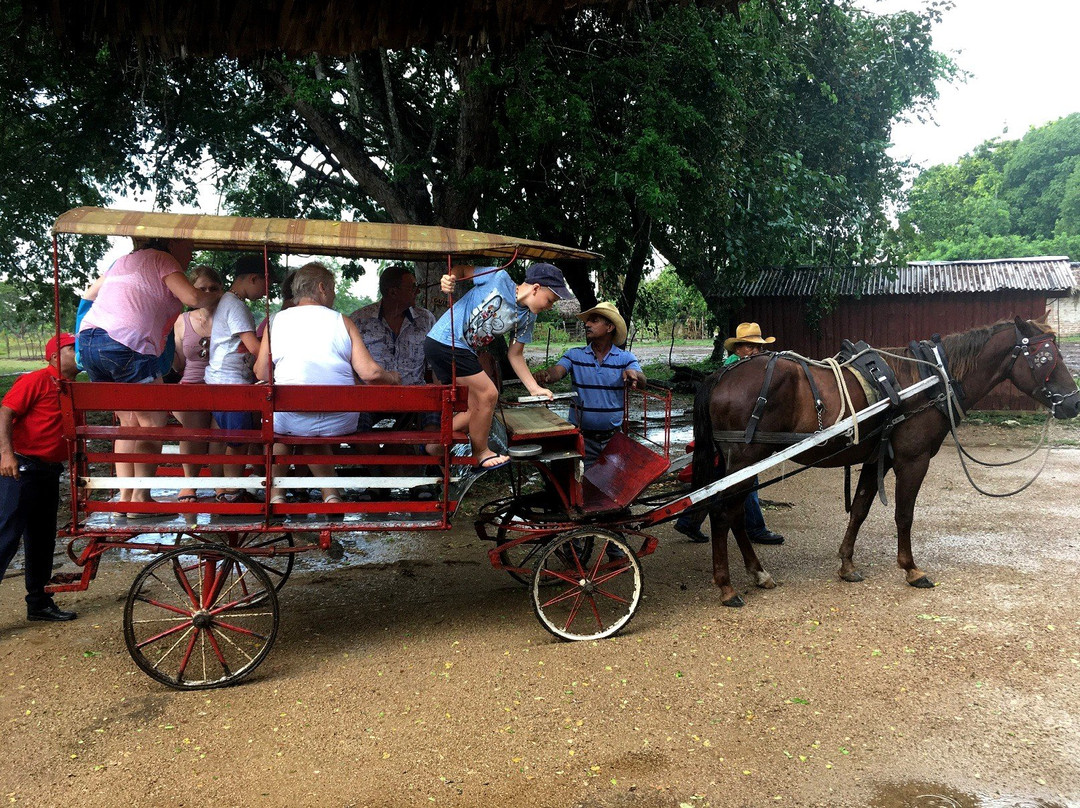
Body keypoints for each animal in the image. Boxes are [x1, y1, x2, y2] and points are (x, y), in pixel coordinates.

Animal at [691, 317, 1080, 604]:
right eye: (1046, 357)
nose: (1074, 403)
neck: (929, 378)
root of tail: (723, 374)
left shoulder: (876, 458)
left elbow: (861, 509)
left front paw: (847, 564)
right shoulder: (913, 459)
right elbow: (904, 515)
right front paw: (911, 569)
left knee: (734, 513)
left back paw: (757, 573)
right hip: (744, 459)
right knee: (723, 512)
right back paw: (727, 586)